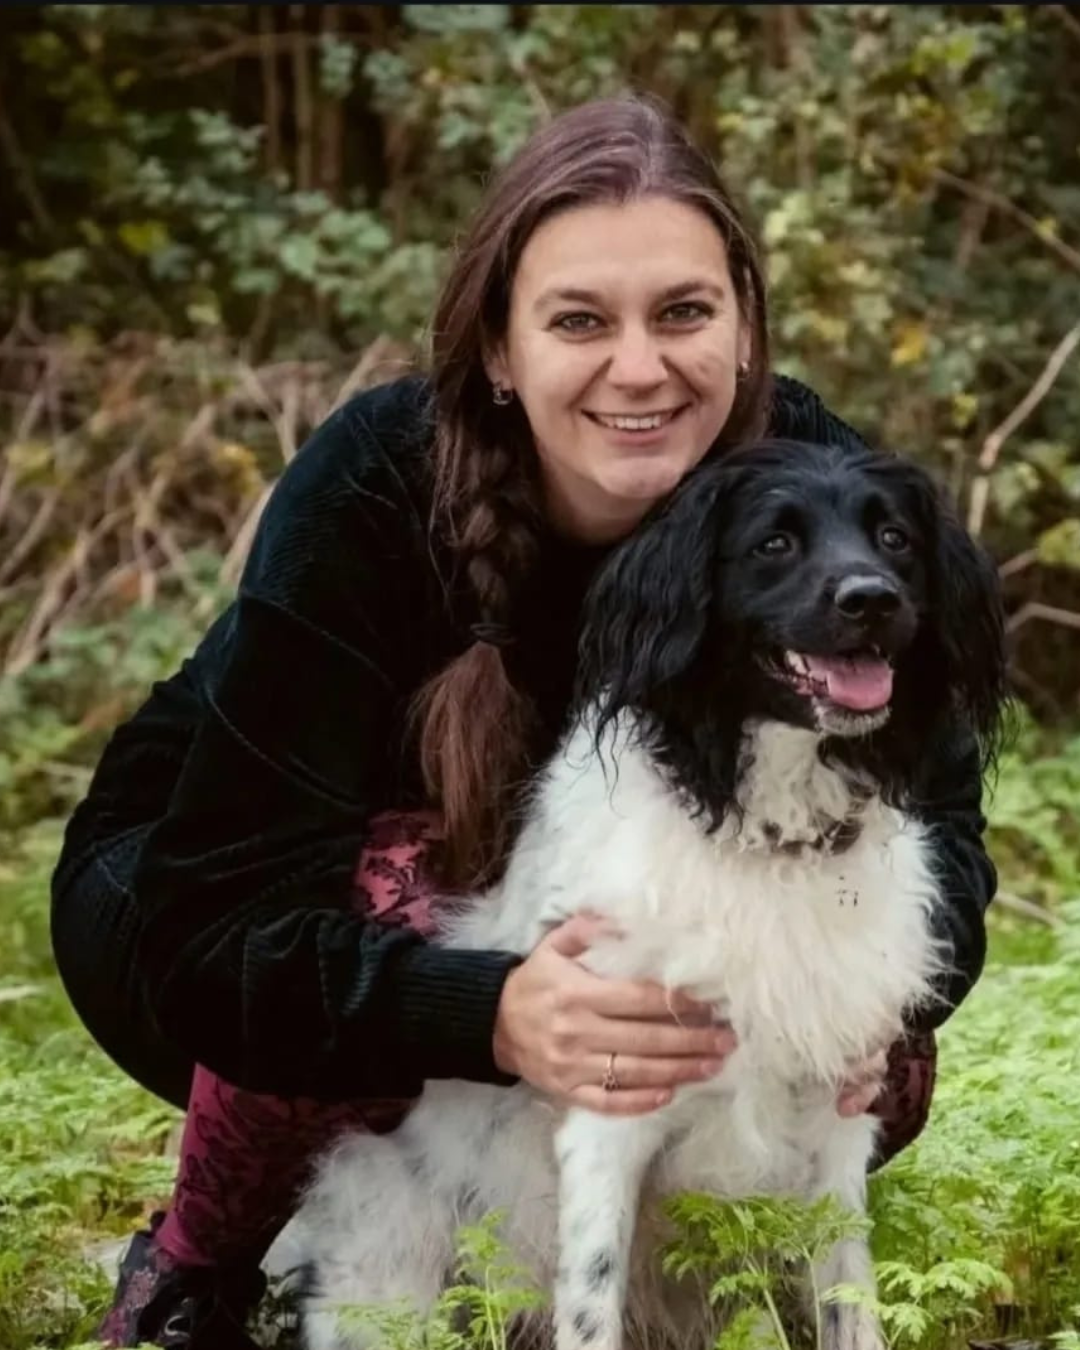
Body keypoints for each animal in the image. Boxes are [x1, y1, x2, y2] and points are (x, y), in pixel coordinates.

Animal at [295, 440, 1004, 1350]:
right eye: (774, 544)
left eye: (894, 538)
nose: (871, 599)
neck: (763, 839)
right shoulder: (610, 1114)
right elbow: (592, 1300)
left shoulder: (835, 1126)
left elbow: (849, 1298)